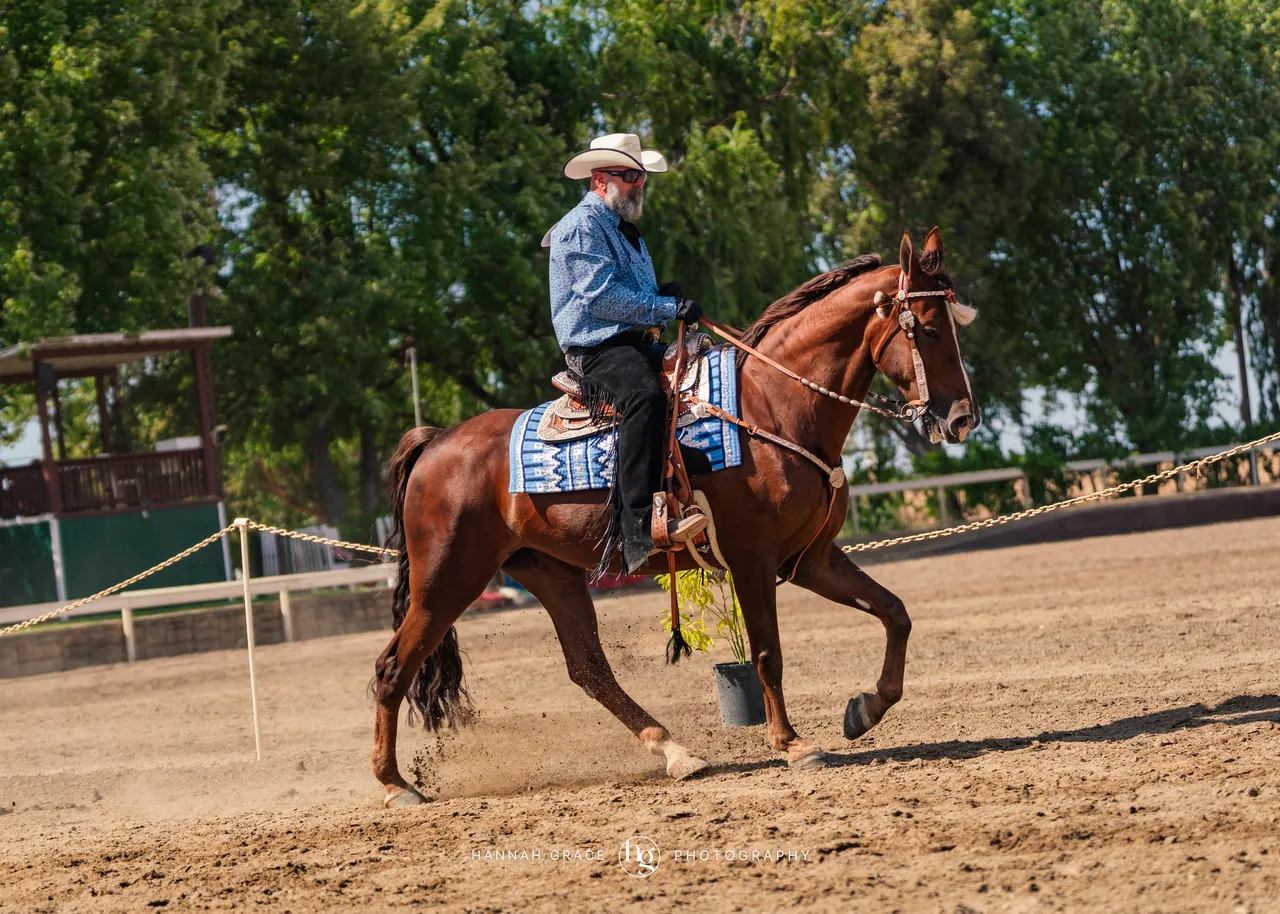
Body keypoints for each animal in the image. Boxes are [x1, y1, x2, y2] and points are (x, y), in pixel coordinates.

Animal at [371, 227, 979, 807]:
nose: (963, 418)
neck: (774, 406)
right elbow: (767, 652)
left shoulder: (810, 559)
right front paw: (792, 744)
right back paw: (395, 784)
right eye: (927, 330)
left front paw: (865, 709)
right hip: (447, 580)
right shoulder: (752, 559)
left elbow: (895, 612)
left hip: (550, 574)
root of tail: (436, 443)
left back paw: (675, 751)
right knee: (392, 667)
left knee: (589, 670)